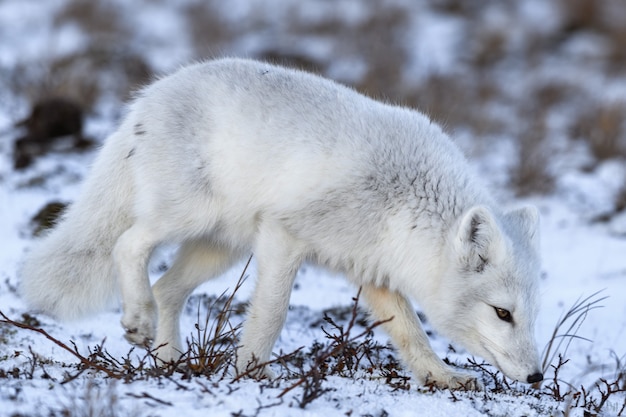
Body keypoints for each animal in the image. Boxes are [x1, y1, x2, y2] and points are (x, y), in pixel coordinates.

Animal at [20, 57, 540, 386]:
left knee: (167, 289)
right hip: (188, 216)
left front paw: (442, 377)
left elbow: (411, 333)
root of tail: (145, 99)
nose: (536, 376)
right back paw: (140, 322)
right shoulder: (283, 236)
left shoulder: (370, 269)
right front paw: (251, 373)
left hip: (220, 250)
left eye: (529, 314)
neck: (405, 205)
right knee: (128, 246)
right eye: (502, 313)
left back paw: (170, 364)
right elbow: (272, 314)